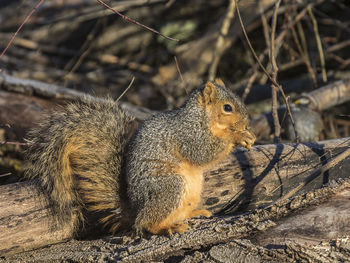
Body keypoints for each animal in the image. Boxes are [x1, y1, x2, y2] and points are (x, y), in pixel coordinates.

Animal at [23, 78, 254, 237]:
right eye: (227, 108)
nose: (246, 123)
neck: (200, 117)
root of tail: (133, 209)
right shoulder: (187, 134)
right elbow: (203, 151)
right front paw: (237, 136)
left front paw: (247, 135)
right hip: (169, 187)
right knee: (144, 224)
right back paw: (166, 228)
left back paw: (192, 214)